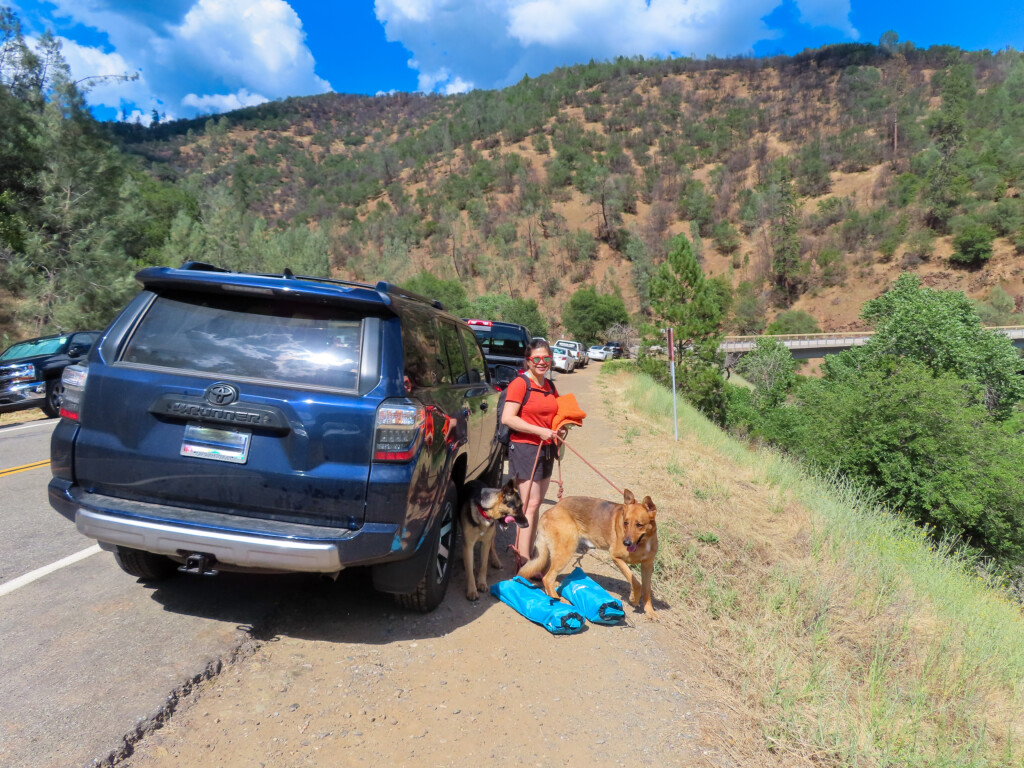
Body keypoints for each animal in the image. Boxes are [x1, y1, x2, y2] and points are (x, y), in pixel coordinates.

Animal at [516, 493, 659, 618]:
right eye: (625, 523)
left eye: (639, 525)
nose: (626, 543)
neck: (644, 541)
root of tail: (549, 511)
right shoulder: (616, 557)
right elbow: (635, 582)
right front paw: (634, 598)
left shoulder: (647, 566)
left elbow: (646, 589)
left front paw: (649, 611)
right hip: (566, 551)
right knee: (547, 578)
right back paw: (556, 599)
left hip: (555, 553)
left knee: (546, 574)